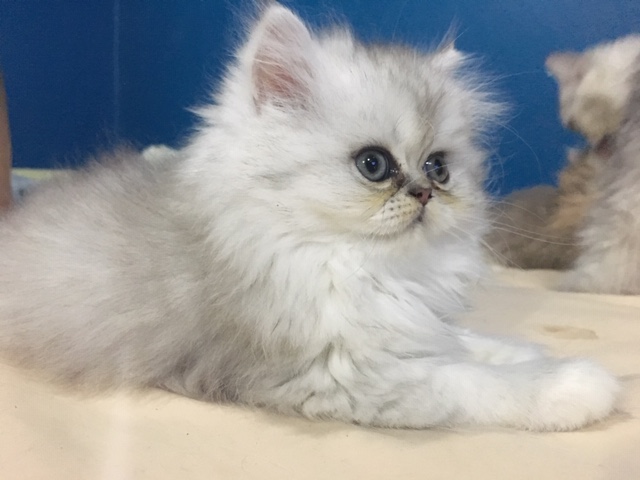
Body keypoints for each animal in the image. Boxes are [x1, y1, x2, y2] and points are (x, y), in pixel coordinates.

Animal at [0, 4, 618, 430]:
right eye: (374, 165)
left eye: (438, 168)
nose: (424, 194)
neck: (366, 266)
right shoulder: (346, 377)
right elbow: (478, 381)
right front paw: (580, 383)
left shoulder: (411, 329)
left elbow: (471, 343)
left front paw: (532, 352)